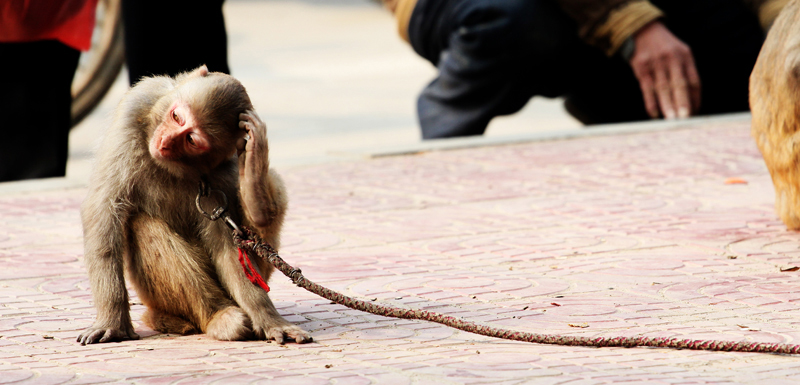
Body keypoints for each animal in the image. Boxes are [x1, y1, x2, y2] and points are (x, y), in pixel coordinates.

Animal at [76, 64, 310, 344]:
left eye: (191, 140)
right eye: (176, 116)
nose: (164, 141)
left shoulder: (219, 175)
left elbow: (226, 246)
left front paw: (267, 316)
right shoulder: (133, 109)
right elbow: (104, 211)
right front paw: (111, 321)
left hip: (262, 273)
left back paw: (256, 193)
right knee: (143, 225)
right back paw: (217, 316)